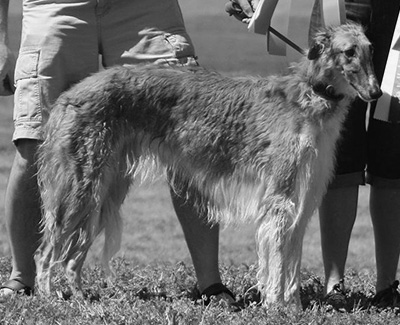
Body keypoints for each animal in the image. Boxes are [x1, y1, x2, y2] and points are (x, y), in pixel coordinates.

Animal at [35, 23, 382, 306]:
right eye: (348, 52)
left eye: (369, 49)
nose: (376, 92)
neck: (309, 95)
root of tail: (68, 95)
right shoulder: (279, 199)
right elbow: (277, 263)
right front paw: (276, 307)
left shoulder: (303, 198)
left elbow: (291, 265)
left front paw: (292, 307)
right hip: (79, 191)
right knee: (45, 253)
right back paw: (48, 297)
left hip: (104, 192)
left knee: (71, 259)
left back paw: (80, 299)